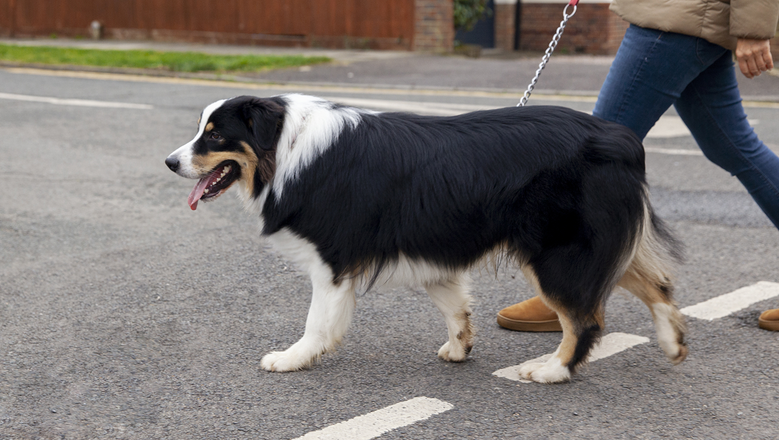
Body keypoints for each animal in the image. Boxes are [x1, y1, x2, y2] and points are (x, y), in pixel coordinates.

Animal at [166, 94, 688, 384]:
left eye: (214, 136)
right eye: (201, 131)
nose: (170, 162)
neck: (288, 147)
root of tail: (624, 139)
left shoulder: (332, 259)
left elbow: (318, 322)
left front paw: (292, 359)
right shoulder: (429, 246)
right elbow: (455, 305)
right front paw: (459, 348)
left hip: (557, 252)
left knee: (585, 319)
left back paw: (551, 370)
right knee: (656, 284)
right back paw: (672, 341)